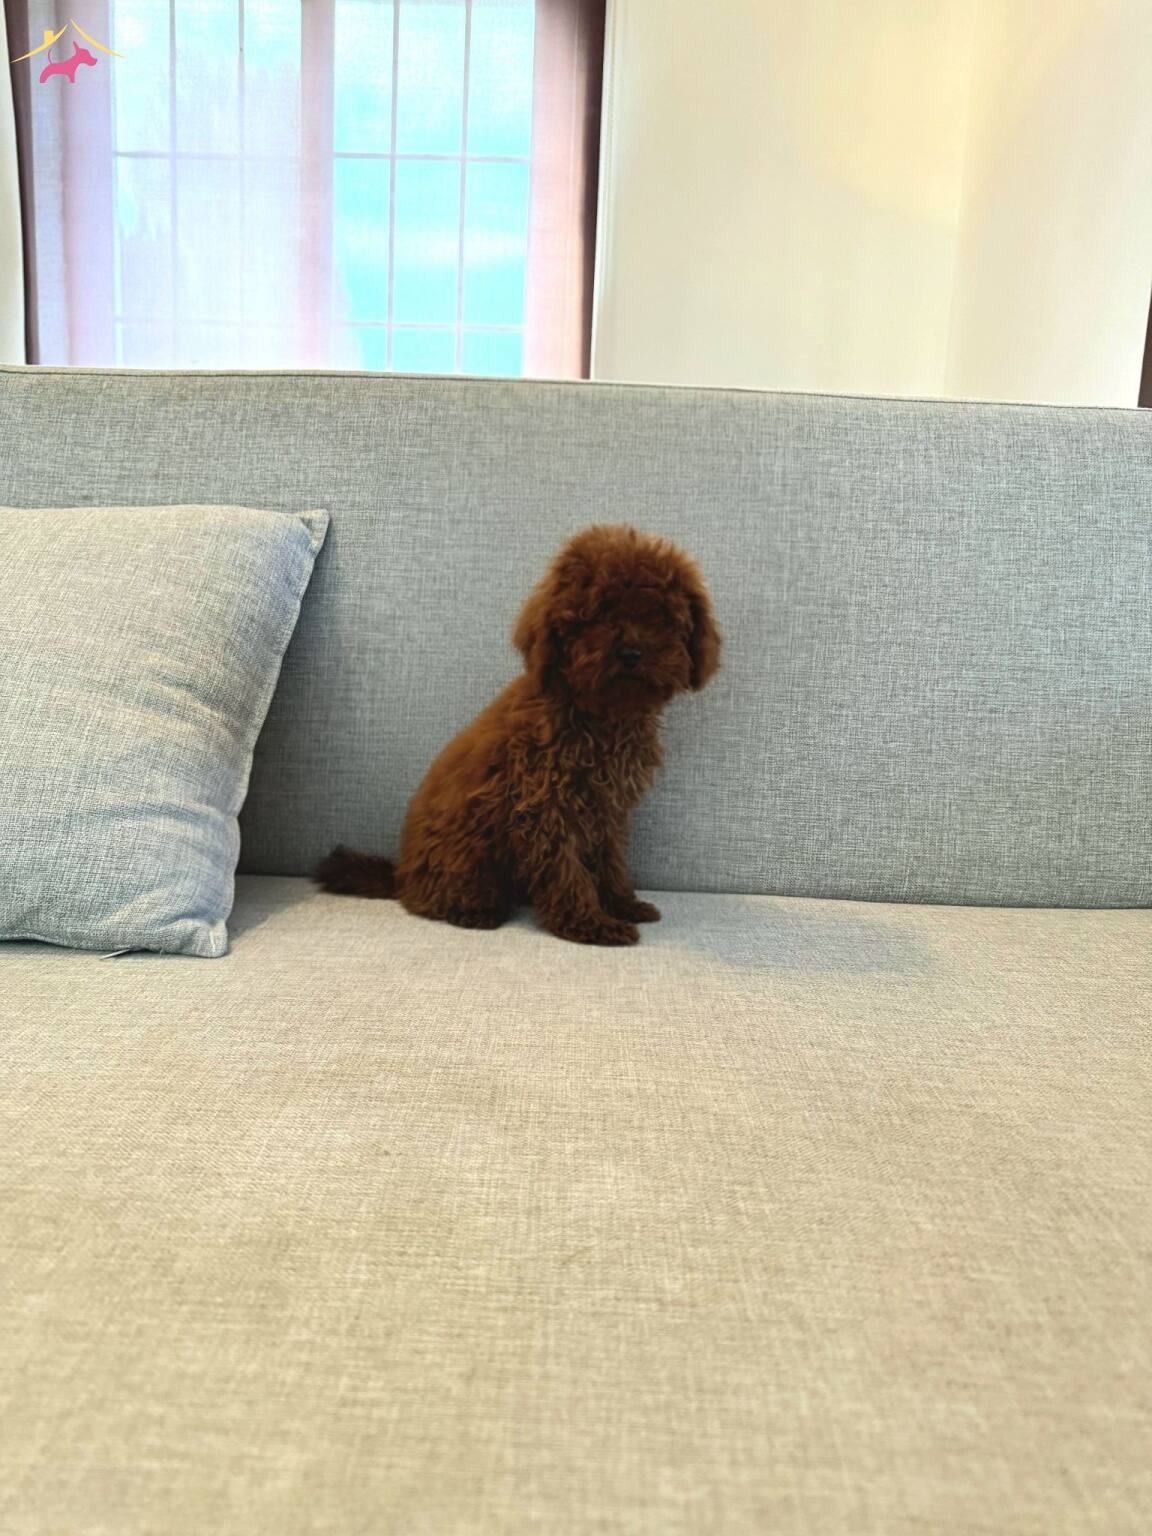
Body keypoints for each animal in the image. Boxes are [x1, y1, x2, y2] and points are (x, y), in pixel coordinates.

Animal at [316, 525, 720, 945]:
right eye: (596, 616)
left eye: (658, 616)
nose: (630, 653)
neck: (602, 718)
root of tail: (400, 875)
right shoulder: (545, 805)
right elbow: (565, 871)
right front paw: (589, 923)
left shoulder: (606, 810)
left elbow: (611, 861)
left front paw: (622, 903)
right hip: (467, 848)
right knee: (433, 899)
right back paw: (474, 911)